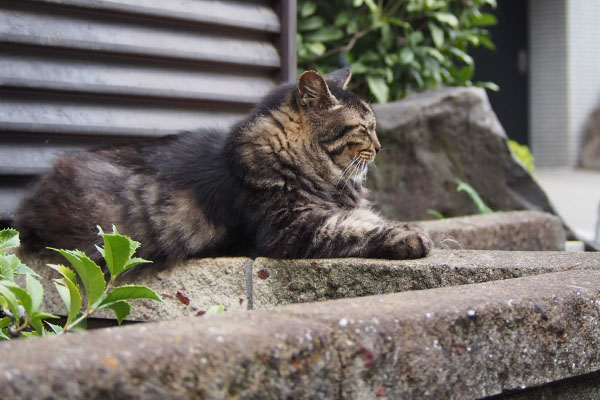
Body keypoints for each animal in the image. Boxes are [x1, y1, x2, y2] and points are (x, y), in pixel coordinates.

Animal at [14, 69, 432, 268]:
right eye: (364, 128)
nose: (378, 147)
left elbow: (365, 218)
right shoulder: (291, 227)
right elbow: (356, 228)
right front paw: (412, 237)